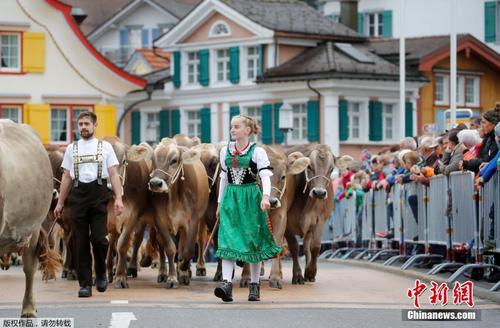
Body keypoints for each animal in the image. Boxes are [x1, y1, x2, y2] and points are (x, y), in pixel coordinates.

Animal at [147, 139, 208, 288]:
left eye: (174, 160)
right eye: (152, 159)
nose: (155, 183)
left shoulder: (192, 221)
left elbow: (188, 250)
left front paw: (183, 272)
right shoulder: (160, 221)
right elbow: (170, 248)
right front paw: (172, 278)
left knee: (196, 242)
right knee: (161, 248)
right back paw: (163, 273)